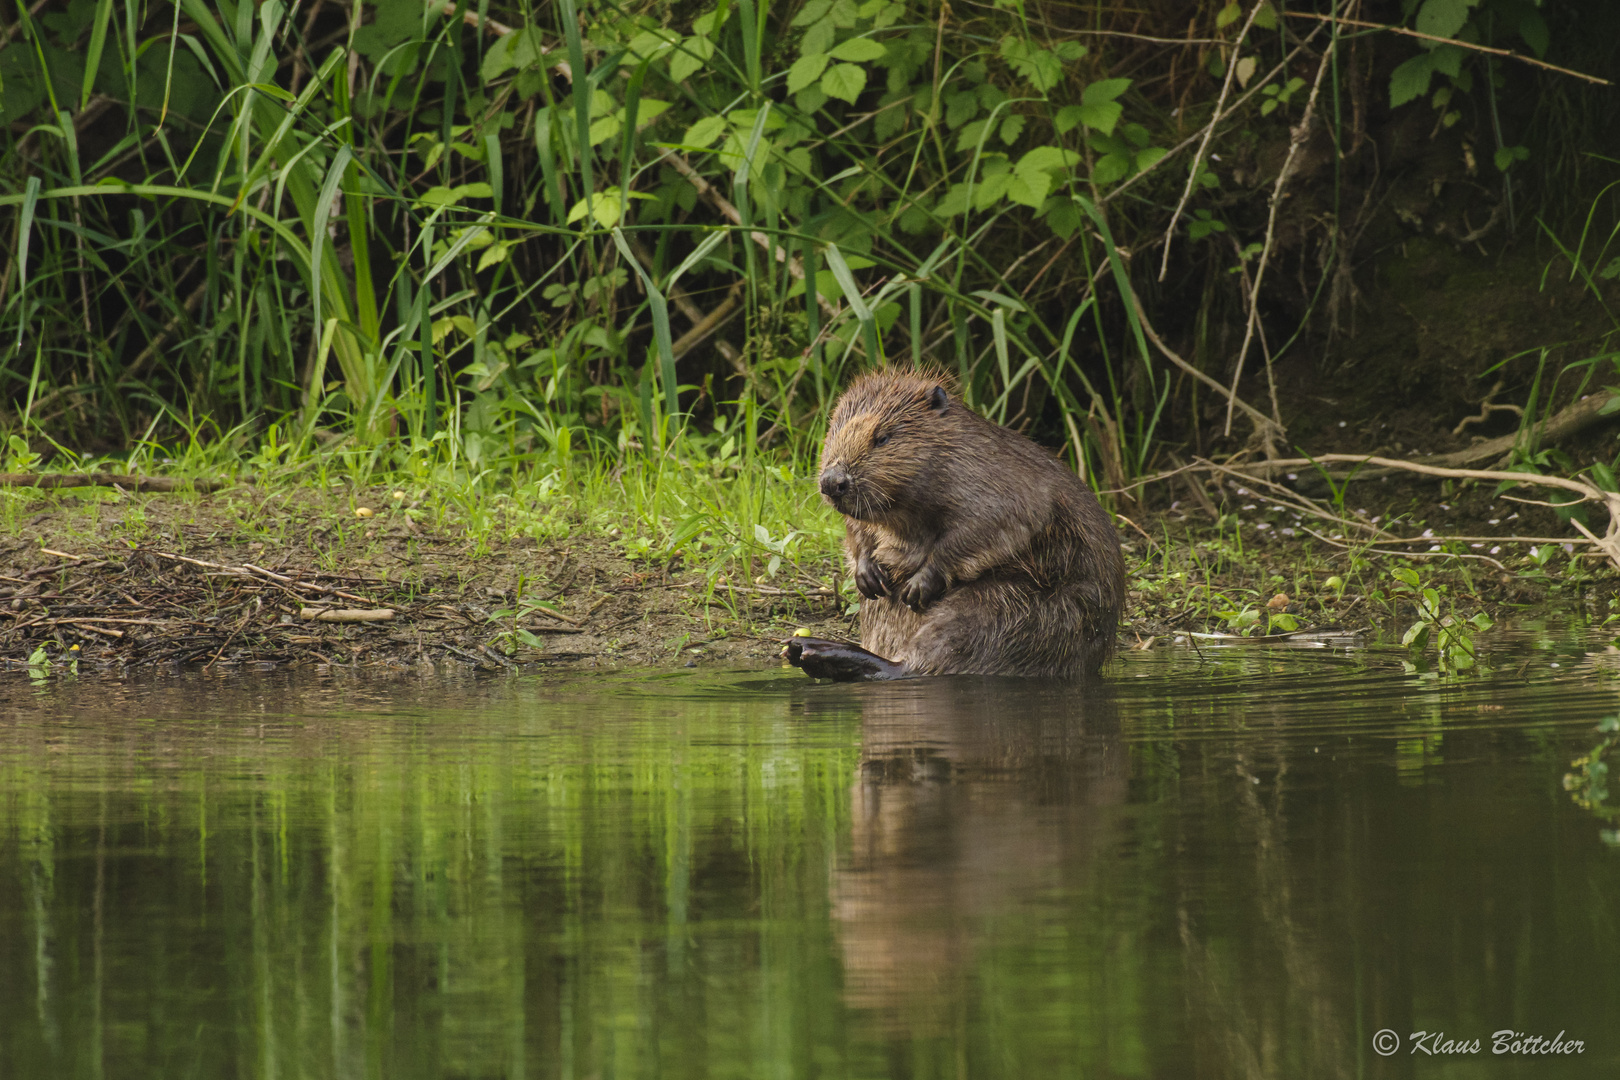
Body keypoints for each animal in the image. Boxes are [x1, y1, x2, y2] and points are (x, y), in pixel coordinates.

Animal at [787, 367, 1127, 680]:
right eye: (834, 430)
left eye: (882, 437)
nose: (832, 482)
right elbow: (857, 530)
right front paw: (868, 575)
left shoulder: (1000, 485)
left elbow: (988, 526)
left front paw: (916, 588)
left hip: (1004, 609)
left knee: (920, 662)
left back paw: (815, 650)